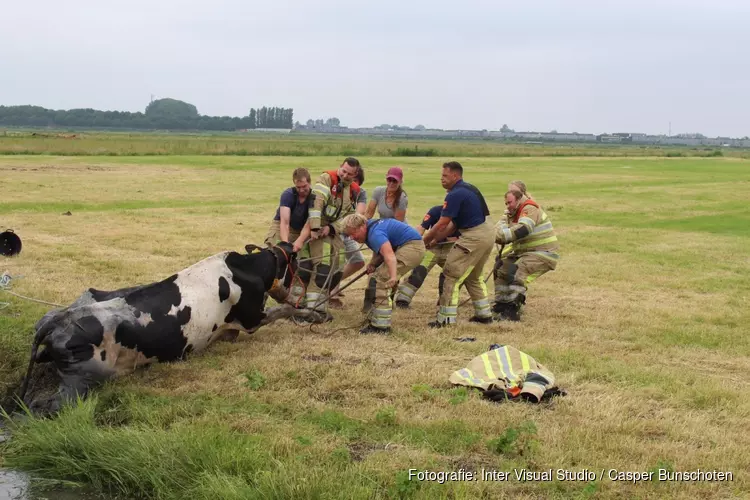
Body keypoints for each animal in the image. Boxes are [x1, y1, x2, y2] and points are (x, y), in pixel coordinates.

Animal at [17, 242, 322, 414]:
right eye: (295, 262)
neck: (246, 269)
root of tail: (58, 320)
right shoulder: (252, 319)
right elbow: (285, 310)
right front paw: (316, 314)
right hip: (79, 381)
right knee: (41, 406)